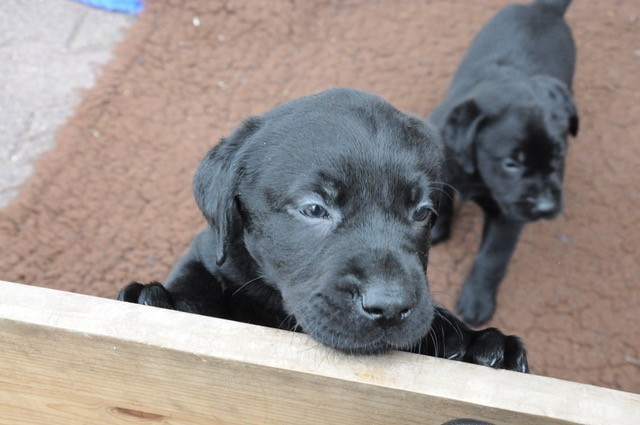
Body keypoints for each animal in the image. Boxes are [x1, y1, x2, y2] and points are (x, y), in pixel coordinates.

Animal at [118, 88, 528, 371]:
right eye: (314, 209)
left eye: (422, 212)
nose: (389, 307)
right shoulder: (209, 253)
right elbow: (196, 280)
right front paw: (168, 302)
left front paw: (474, 343)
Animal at [429, 0, 579, 326]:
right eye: (511, 163)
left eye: (559, 154)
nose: (546, 208)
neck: (476, 176)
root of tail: (544, 9)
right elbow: (442, 199)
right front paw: (436, 231)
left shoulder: (509, 214)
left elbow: (492, 257)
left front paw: (477, 302)